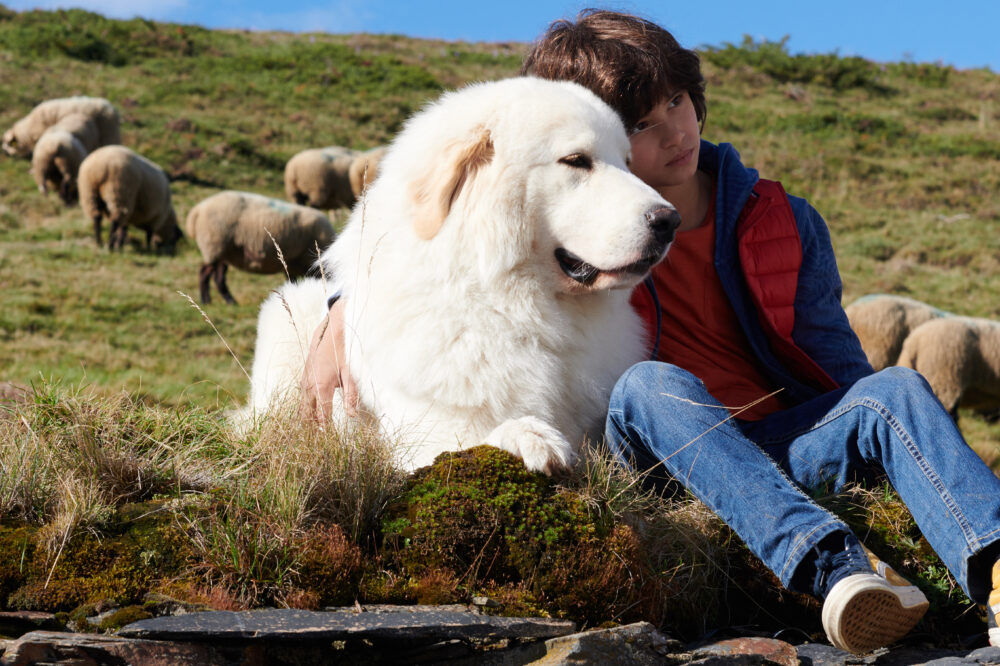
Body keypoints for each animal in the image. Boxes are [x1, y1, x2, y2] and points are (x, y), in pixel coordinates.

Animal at [188, 191, 340, 304]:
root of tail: (198, 210)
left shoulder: (291, 265)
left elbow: (292, 282)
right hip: (213, 245)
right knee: (204, 272)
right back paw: (206, 301)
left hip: (224, 252)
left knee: (218, 276)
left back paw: (230, 301)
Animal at [244, 76, 680, 472]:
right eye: (576, 160)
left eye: (628, 163)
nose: (670, 221)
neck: (512, 308)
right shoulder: (423, 435)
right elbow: (473, 440)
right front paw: (527, 436)